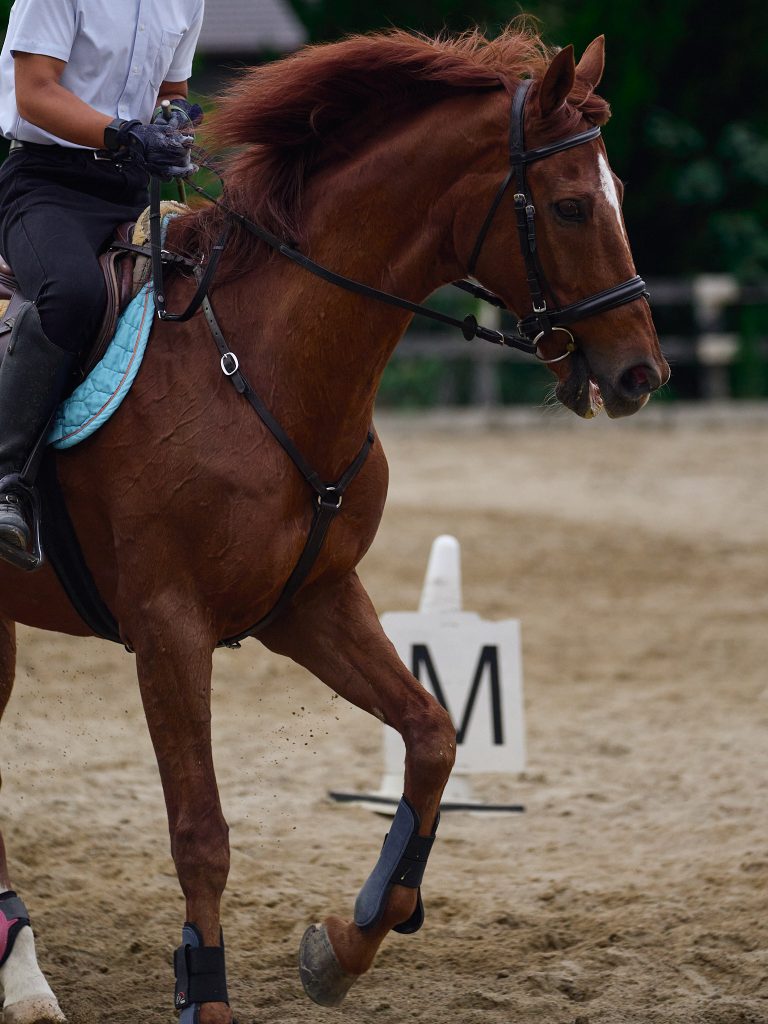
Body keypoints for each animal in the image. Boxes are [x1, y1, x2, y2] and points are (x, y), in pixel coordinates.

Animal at [0, 24, 669, 1024]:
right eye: (572, 205)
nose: (640, 374)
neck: (260, 365)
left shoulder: (310, 602)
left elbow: (433, 735)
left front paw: (346, 943)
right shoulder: (168, 627)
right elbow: (200, 830)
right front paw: (207, 993)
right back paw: (25, 978)